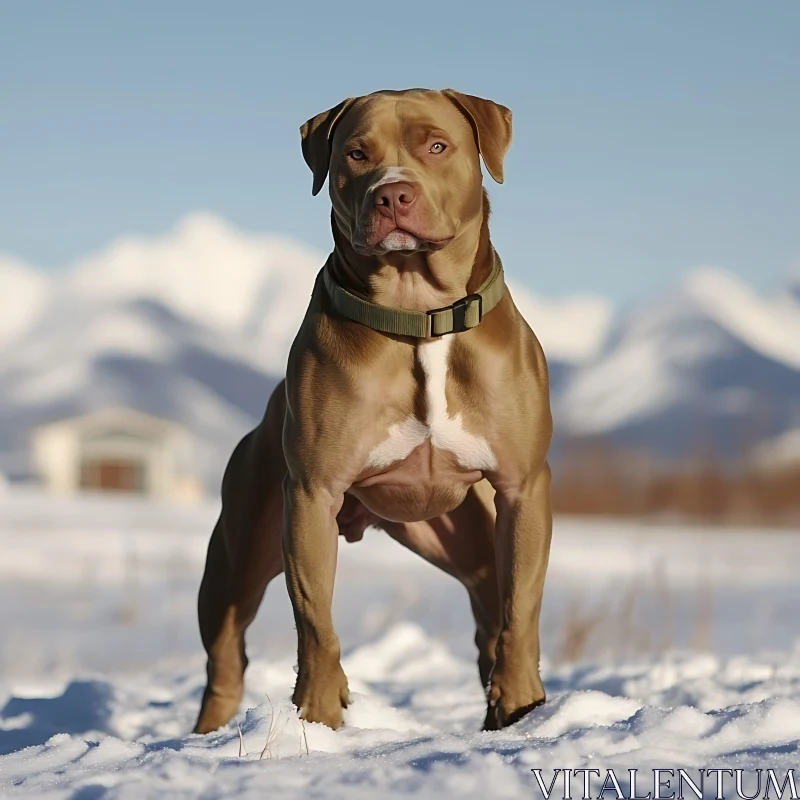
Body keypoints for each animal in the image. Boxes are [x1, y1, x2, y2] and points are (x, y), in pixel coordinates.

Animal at [194, 87, 552, 732]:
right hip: (235, 562)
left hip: (471, 543)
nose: (392, 194)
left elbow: (522, 610)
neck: (420, 316)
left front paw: (521, 702)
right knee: (226, 658)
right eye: (356, 154)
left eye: (436, 145)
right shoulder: (312, 498)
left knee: (493, 619)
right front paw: (318, 716)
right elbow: (316, 621)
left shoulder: (524, 489)